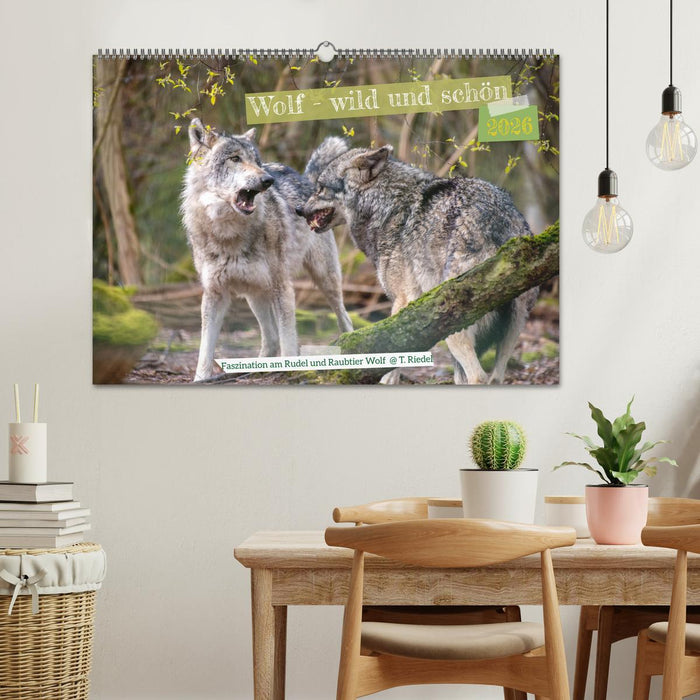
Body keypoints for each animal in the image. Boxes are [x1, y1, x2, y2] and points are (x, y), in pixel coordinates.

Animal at [181, 119, 353, 382]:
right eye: (235, 158)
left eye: (256, 161)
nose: (268, 180)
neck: (229, 235)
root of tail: (307, 179)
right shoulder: (214, 293)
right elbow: (205, 349)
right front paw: (201, 379)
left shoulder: (283, 287)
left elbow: (289, 340)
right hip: (255, 294)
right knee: (270, 339)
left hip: (324, 279)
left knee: (345, 318)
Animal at [299, 139, 539, 385]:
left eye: (320, 188)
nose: (298, 209)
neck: (385, 205)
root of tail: (499, 224)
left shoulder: (403, 302)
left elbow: (391, 365)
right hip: (510, 331)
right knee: (493, 377)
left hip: (454, 329)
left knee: (478, 377)